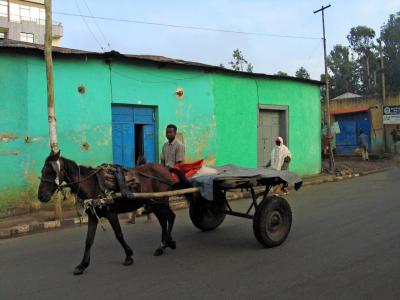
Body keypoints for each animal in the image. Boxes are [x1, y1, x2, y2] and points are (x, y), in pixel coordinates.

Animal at [37, 151, 191, 276]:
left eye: (51, 172)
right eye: (43, 170)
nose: (41, 196)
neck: (93, 185)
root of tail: (165, 169)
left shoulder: (111, 214)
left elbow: (119, 235)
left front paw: (128, 256)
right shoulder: (93, 216)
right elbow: (88, 241)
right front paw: (82, 265)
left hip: (161, 200)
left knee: (170, 217)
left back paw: (166, 243)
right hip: (154, 203)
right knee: (163, 221)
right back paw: (164, 245)